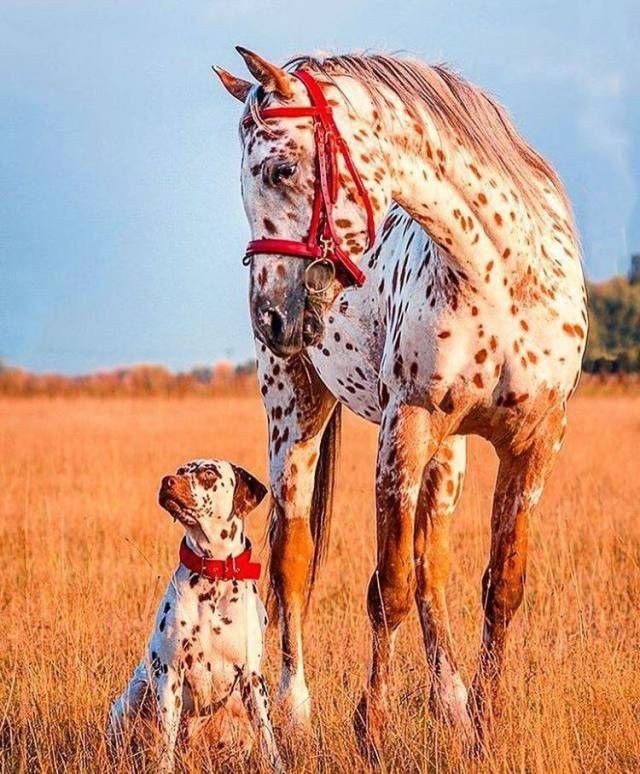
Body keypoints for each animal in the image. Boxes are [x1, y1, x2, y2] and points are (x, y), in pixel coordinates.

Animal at [107, 458, 282, 772]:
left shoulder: (252, 677)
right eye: (179, 471)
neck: (213, 575)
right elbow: (166, 742)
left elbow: (267, 736)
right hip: (134, 695)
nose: (167, 481)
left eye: (209, 473)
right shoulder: (170, 674)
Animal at [214, 45, 584, 760]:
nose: (269, 316)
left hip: (451, 451)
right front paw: (371, 733)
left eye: (280, 168)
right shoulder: (404, 428)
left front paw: (483, 733)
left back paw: (452, 706)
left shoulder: (534, 444)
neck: (500, 274)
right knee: (294, 558)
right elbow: (388, 589)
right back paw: (295, 714)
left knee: (432, 563)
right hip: (294, 414)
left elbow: (500, 586)